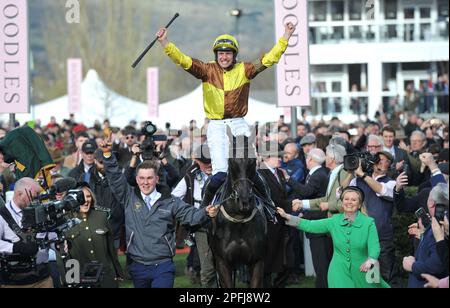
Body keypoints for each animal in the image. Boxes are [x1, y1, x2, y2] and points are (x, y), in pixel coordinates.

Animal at [208, 136, 268, 288]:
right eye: (231, 161)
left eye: (252, 161)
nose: (244, 200)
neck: (239, 217)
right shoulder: (222, 262)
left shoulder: (257, 261)